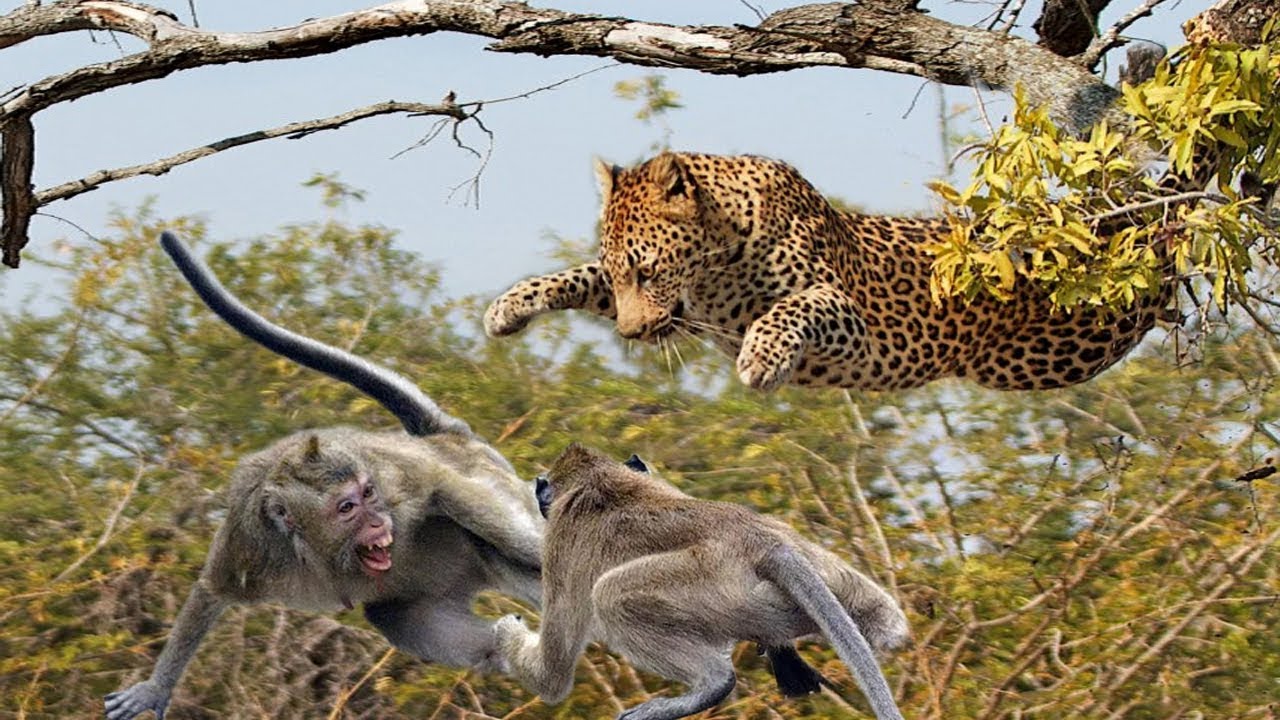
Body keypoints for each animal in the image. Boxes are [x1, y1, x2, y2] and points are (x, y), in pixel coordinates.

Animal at [104, 232, 544, 720]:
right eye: (347, 507)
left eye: (369, 495)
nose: (378, 521)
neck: (320, 552)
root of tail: (443, 436)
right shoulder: (251, 543)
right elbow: (210, 591)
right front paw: (156, 687)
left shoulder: (402, 484)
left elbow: (449, 491)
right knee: (396, 618)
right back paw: (508, 651)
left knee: (499, 541)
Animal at [484, 152, 1175, 392]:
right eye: (625, 271)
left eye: (648, 271)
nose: (628, 337)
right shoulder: (687, 311)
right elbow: (576, 277)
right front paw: (508, 306)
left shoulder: (854, 320)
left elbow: (792, 308)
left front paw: (761, 359)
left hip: (1075, 344)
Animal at [499, 443, 910, 720]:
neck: (596, 478)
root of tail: (763, 543)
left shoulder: (559, 544)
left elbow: (553, 674)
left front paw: (507, 634)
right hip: (827, 578)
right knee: (887, 627)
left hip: (712, 584)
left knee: (610, 595)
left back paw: (714, 683)